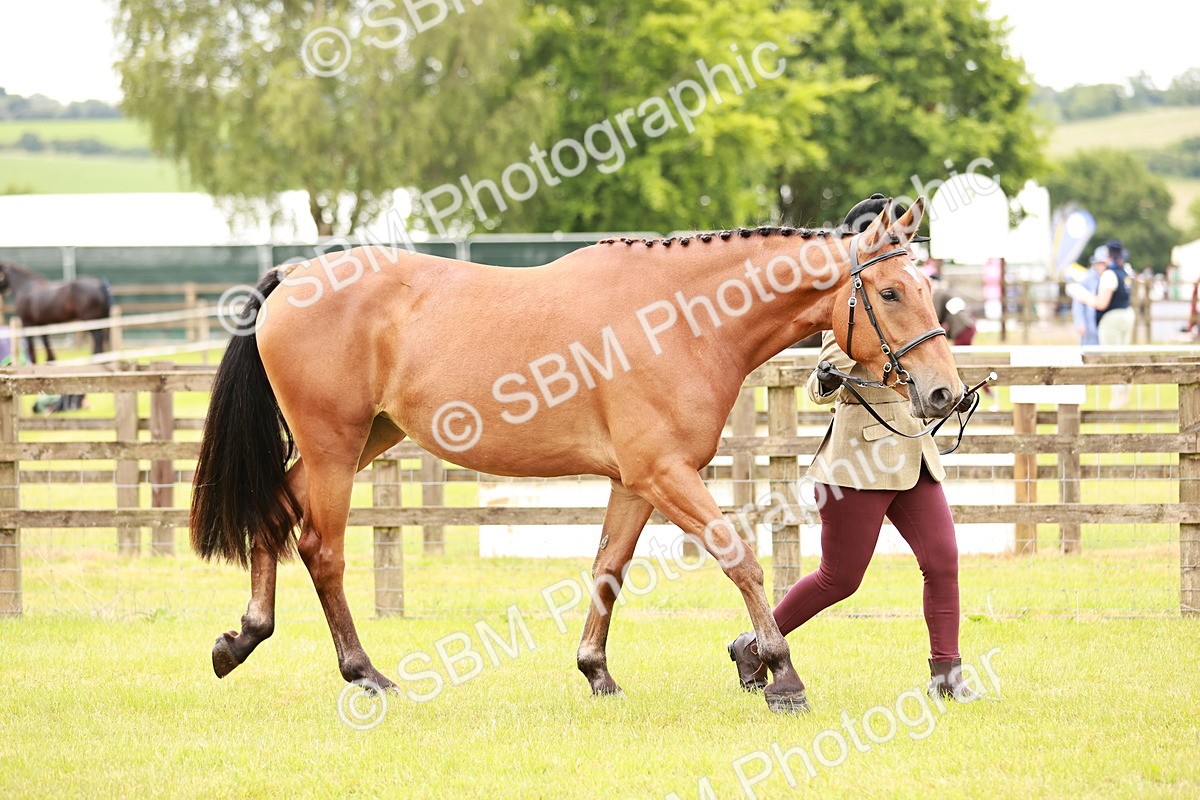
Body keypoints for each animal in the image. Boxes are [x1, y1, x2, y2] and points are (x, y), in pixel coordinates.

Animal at [190, 197, 963, 713]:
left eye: (931, 289)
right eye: (890, 290)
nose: (945, 393)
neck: (678, 318)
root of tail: (296, 275)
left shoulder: (635, 481)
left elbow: (607, 571)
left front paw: (597, 672)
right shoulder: (666, 473)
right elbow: (739, 557)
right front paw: (781, 673)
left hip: (368, 438)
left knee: (275, 512)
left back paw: (241, 638)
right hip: (334, 445)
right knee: (321, 549)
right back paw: (365, 673)